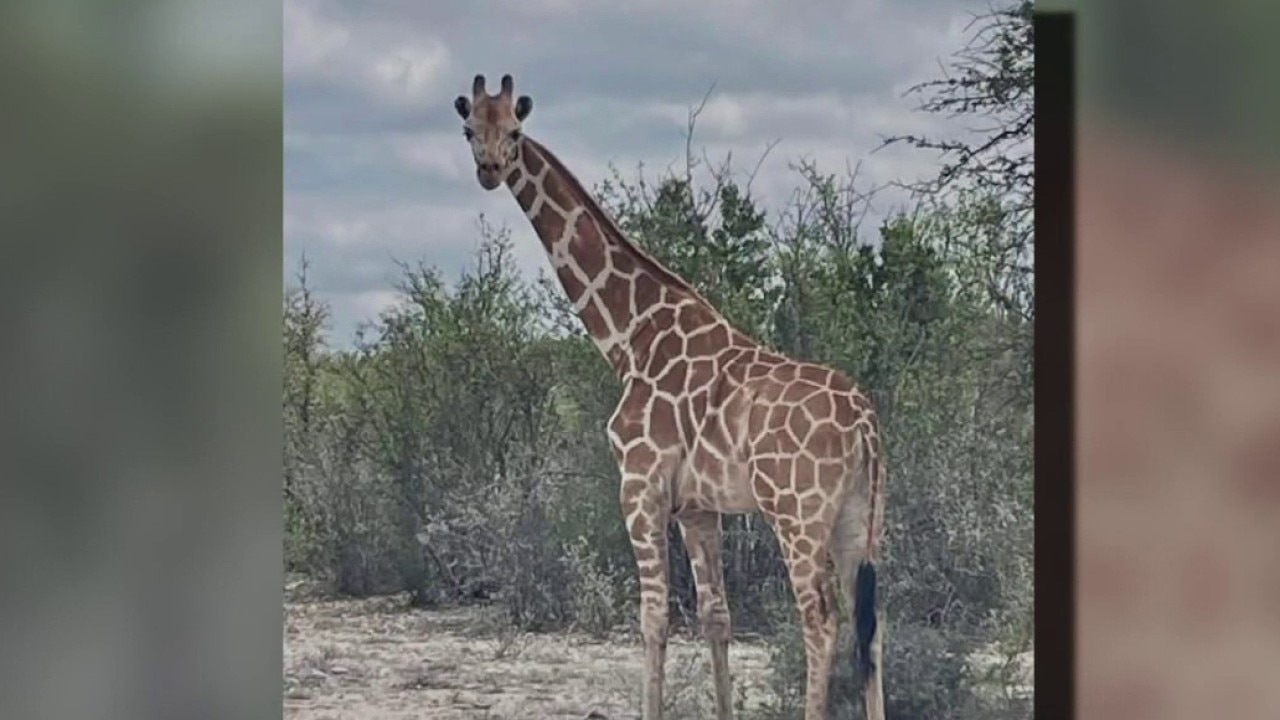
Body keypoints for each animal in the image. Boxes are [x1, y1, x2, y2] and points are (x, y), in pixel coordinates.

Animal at [453, 74, 886, 720]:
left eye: (516, 131)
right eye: (468, 129)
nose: (488, 168)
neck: (630, 336)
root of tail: (864, 423)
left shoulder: (640, 484)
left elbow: (653, 618)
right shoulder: (699, 508)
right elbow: (716, 617)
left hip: (798, 512)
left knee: (821, 621)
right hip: (861, 516)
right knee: (870, 625)